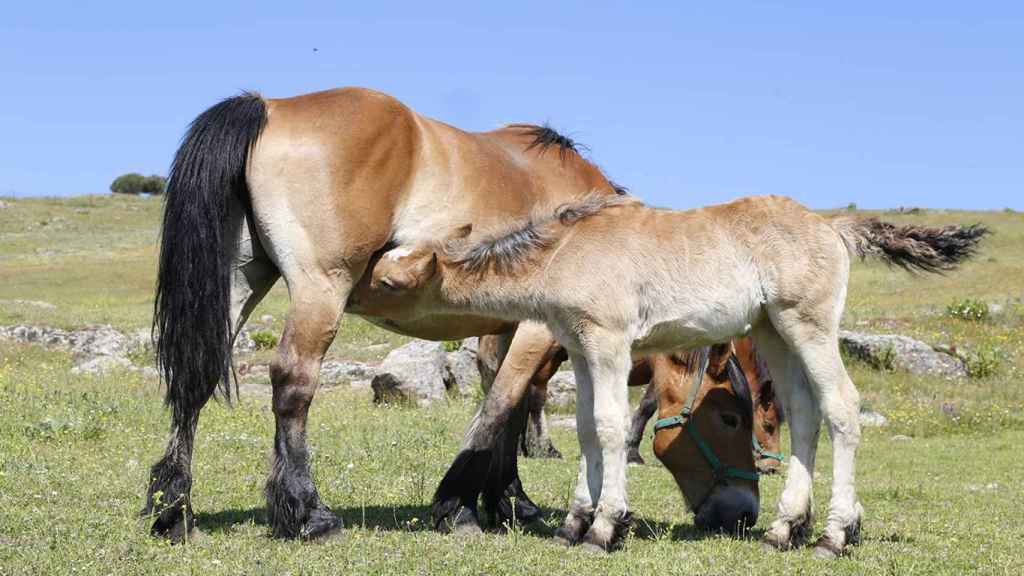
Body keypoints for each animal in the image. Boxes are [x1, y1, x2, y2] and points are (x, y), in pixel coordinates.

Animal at [144, 85, 634, 537]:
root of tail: (270, 106)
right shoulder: (538, 329)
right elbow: (501, 404)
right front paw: (458, 506)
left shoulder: (506, 330)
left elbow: (507, 410)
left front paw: (509, 501)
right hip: (321, 288)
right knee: (292, 382)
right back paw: (308, 513)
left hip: (241, 279)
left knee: (196, 377)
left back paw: (173, 510)